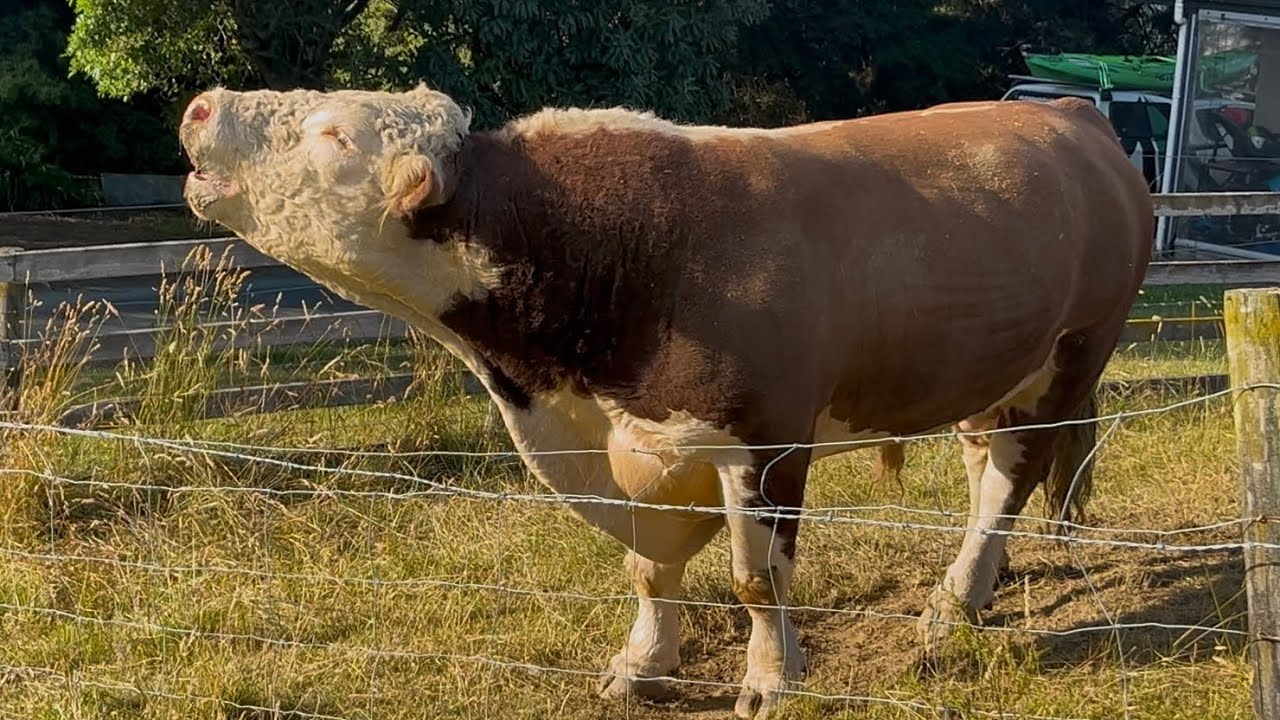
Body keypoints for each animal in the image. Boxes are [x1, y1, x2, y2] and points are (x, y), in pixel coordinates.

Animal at [177, 85, 1153, 719]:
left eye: (334, 134)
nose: (199, 106)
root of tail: (1067, 112)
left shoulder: (765, 440)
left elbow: (758, 580)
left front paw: (771, 679)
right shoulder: (630, 450)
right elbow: (648, 568)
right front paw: (643, 664)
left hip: (1074, 356)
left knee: (1012, 481)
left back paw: (958, 595)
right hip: (981, 371)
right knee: (986, 458)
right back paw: (983, 584)